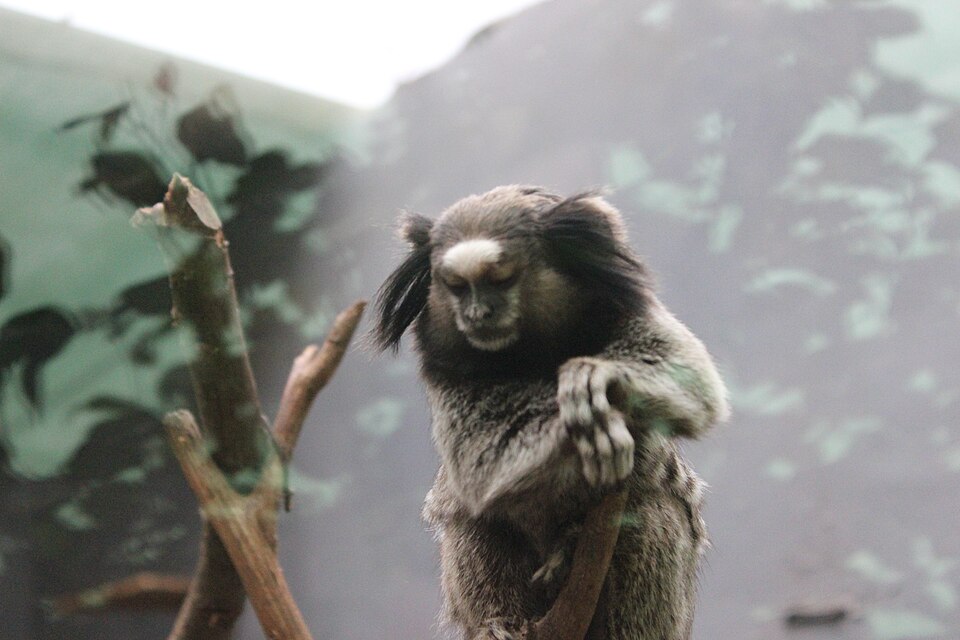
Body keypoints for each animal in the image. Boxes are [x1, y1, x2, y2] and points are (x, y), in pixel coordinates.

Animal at [372, 186, 730, 640]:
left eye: (501, 280)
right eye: (456, 286)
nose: (476, 314)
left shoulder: (620, 308)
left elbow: (691, 377)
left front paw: (596, 378)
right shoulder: (449, 370)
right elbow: (479, 459)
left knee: (651, 516)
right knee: (474, 522)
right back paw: (503, 622)